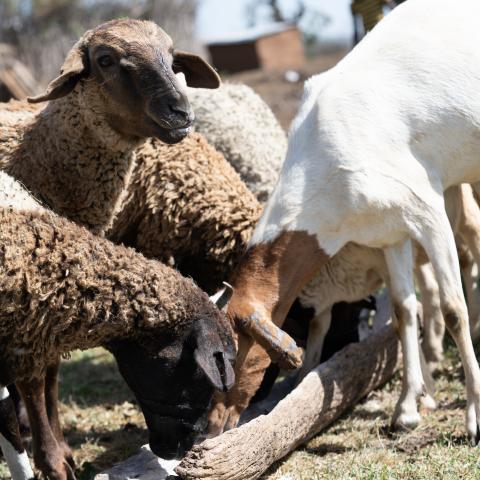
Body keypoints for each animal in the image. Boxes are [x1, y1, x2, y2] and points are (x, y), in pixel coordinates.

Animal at [218, 0, 480, 444]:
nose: (211, 425)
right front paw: (406, 409)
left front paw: (474, 415)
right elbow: (404, 310)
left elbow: (452, 310)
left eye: (227, 357)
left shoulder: (427, 211)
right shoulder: (389, 232)